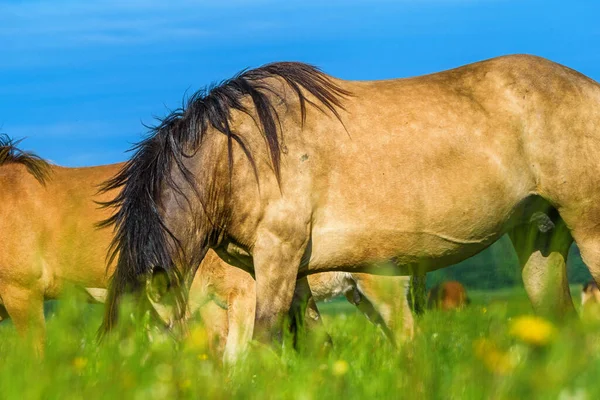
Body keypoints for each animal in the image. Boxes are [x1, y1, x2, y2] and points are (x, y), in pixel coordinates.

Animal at [99, 54, 600, 346]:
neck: (236, 156)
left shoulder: (277, 256)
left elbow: (266, 340)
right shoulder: (288, 270)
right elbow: (314, 343)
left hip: (587, 226)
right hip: (540, 238)